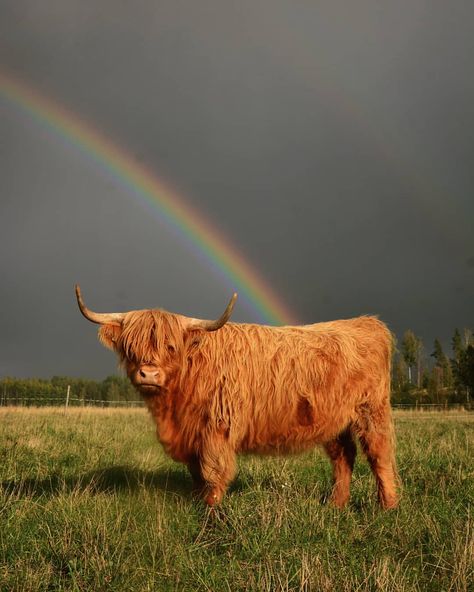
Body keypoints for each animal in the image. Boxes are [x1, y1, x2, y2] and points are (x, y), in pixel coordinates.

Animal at [76, 286, 398, 508]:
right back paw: (336, 505)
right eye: (130, 346)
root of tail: (366, 322)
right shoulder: (191, 435)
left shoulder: (217, 429)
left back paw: (387, 507)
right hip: (333, 420)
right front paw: (198, 503)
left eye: (170, 347)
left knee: (379, 454)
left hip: (371, 410)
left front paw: (211, 511)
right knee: (343, 456)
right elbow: (196, 474)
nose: (149, 374)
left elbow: (213, 472)